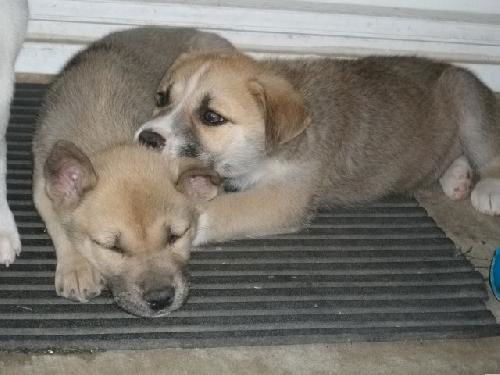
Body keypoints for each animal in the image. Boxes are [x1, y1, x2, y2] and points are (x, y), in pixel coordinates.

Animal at [32, 29, 231, 318]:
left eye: (175, 236)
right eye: (112, 247)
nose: (160, 299)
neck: (109, 139)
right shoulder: (42, 188)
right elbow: (57, 224)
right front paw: (77, 267)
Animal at [136, 50, 500, 245]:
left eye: (211, 117)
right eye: (162, 98)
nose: (146, 139)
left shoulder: (285, 198)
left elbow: (219, 210)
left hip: (466, 100)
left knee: (487, 151)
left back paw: (487, 190)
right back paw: (456, 177)